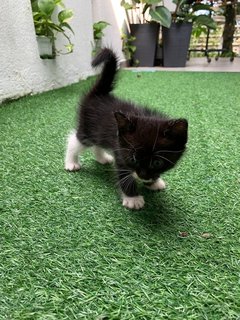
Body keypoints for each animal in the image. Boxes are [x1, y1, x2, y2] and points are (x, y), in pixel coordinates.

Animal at [64, 48, 188, 210]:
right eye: (133, 158)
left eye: (157, 163)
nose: (143, 176)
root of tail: (99, 94)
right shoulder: (121, 152)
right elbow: (124, 174)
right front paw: (133, 198)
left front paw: (153, 183)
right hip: (87, 128)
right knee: (75, 140)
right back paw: (71, 163)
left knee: (98, 143)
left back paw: (102, 158)